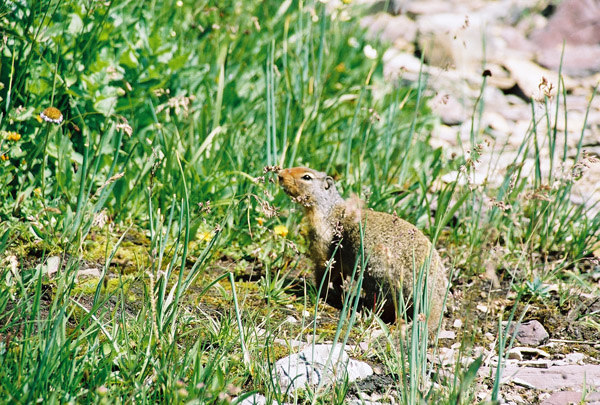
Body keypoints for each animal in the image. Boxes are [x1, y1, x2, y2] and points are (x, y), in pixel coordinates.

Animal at [278, 166, 448, 332]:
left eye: (307, 177)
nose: (279, 174)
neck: (329, 209)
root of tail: (433, 299)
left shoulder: (324, 239)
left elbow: (325, 268)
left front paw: (320, 292)